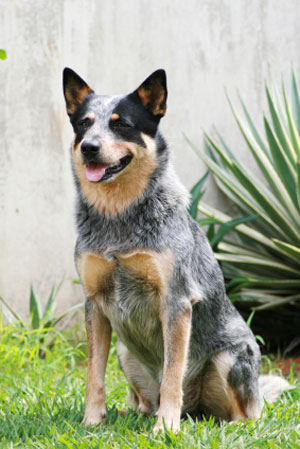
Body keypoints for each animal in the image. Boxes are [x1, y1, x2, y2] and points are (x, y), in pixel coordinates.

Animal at [62, 68, 290, 432]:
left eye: (122, 124)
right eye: (84, 123)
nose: (89, 147)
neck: (119, 218)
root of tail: (196, 411)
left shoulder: (177, 301)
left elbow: (172, 373)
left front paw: (166, 428)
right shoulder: (94, 303)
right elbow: (94, 375)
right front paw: (91, 422)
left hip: (231, 357)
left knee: (247, 414)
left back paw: (216, 423)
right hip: (125, 352)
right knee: (143, 401)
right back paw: (133, 414)